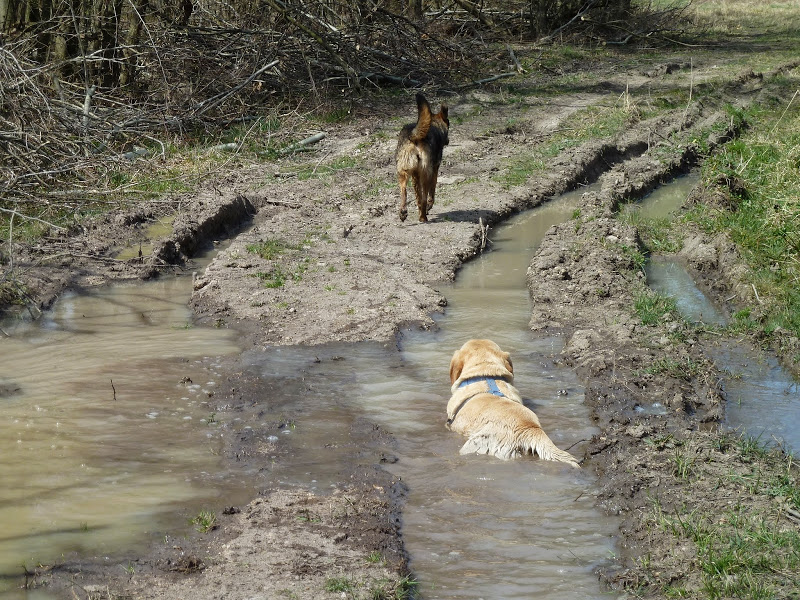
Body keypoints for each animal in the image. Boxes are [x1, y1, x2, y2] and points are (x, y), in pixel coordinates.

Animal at [396, 92, 450, 224]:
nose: (448, 141)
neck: (435, 124)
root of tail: (414, 137)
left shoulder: (415, 174)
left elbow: (418, 198)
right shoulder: (434, 169)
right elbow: (432, 192)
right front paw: (429, 206)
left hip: (403, 172)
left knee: (405, 192)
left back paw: (404, 212)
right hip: (426, 174)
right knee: (424, 197)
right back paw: (423, 217)